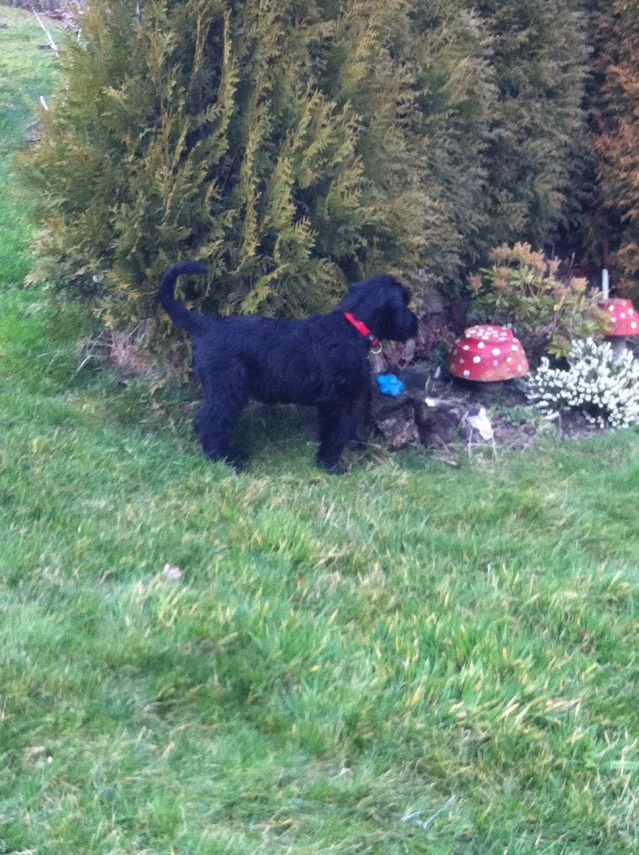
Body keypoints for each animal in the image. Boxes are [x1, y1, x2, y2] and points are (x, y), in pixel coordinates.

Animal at [160, 262, 420, 472]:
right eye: (405, 303)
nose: (415, 324)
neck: (352, 326)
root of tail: (204, 325)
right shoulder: (342, 401)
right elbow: (338, 432)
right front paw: (332, 466)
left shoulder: (328, 404)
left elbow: (329, 431)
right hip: (228, 391)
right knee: (209, 423)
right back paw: (228, 462)